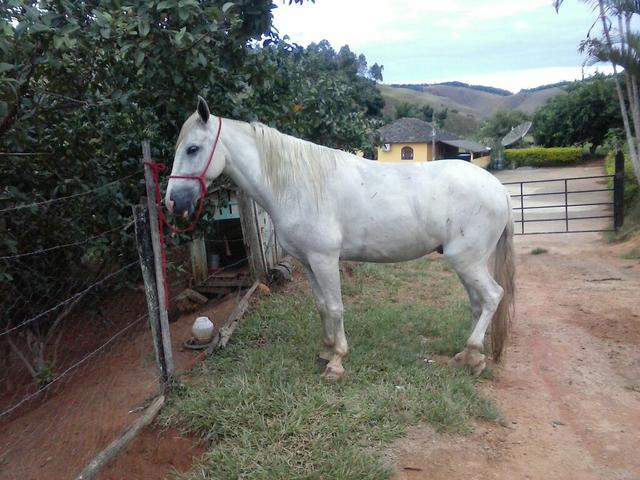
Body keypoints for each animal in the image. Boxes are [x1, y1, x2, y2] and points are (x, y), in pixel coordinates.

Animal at [165, 97, 515, 380]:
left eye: (192, 149)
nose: (172, 202)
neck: (297, 184)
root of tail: (499, 190)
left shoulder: (324, 258)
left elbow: (335, 307)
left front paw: (337, 362)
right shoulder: (308, 262)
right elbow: (322, 306)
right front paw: (325, 351)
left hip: (466, 260)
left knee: (492, 297)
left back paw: (473, 352)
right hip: (467, 263)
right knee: (477, 302)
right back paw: (470, 357)